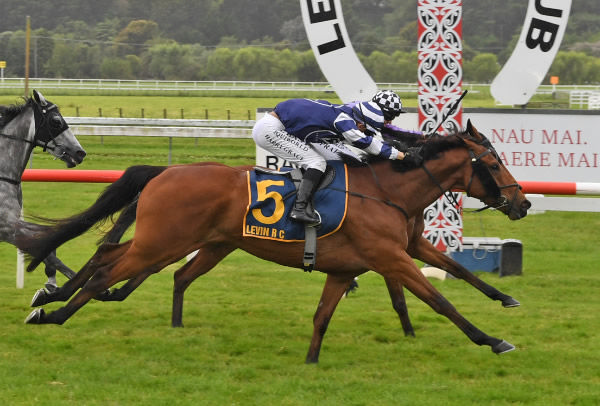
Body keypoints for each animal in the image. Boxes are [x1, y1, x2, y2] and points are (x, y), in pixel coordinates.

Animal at [0, 91, 86, 290]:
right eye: (56, 121)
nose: (80, 153)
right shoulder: (7, 228)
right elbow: (47, 254)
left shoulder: (15, 223)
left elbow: (47, 240)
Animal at [17, 119, 528, 362]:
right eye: (493, 163)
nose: (521, 203)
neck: (388, 190)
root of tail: (167, 171)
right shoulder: (391, 256)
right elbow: (440, 300)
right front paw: (492, 340)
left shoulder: (386, 254)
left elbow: (455, 269)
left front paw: (505, 298)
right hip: (161, 242)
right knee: (107, 268)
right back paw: (52, 312)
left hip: (187, 242)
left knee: (120, 257)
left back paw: (56, 300)